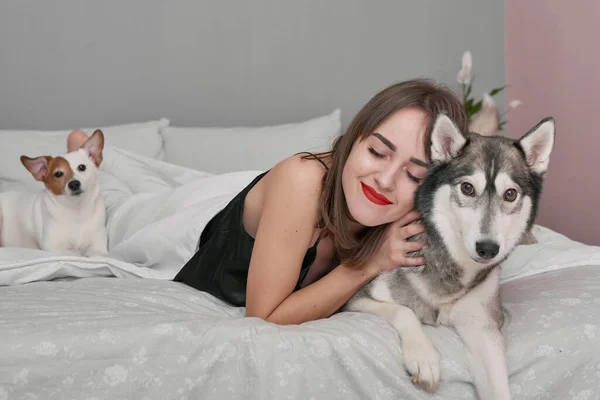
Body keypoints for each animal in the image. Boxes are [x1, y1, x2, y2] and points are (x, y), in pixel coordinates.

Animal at [344, 113, 556, 400]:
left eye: (510, 194)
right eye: (467, 188)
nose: (487, 248)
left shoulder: (484, 330)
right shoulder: (356, 300)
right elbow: (403, 311)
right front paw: (423, 357)